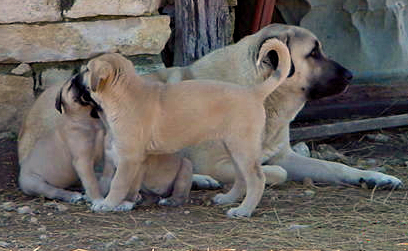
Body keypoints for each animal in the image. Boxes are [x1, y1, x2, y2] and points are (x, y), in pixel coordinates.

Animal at [17, 75, 193, 208]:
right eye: (71, 85)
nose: (80, 77)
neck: (88, 121)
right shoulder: (83, 160)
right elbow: (92, 182)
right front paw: (98, 198)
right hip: (36, 182)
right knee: (53, 191)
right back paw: (72, 195)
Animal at [77, 39, 290, 218]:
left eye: (86, 70)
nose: (73, 78)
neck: (125, 95)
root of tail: (253, 92)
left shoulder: (129, 158)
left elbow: (118, 184)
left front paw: (107, 204)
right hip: (234, 147)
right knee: (241, 177)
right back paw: (228, 199)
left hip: (243, 147)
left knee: (257, 179)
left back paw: (244, 210)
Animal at [146, 24, 402, 191]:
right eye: (313, 53)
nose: (350, 75)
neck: (263, 95)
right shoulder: (216, 163)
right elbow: (279, 172)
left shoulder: (284, 156)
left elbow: (335, 167)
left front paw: (375, 177)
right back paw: (198, 180)